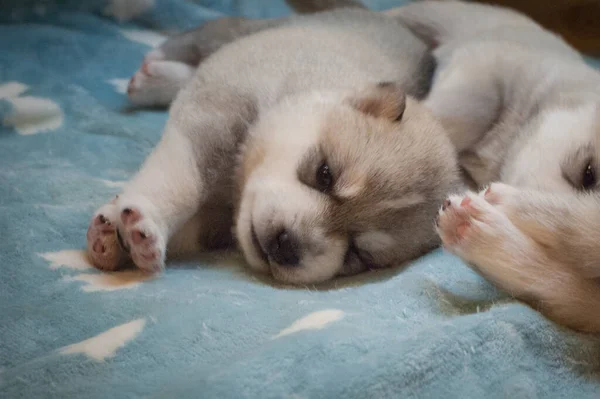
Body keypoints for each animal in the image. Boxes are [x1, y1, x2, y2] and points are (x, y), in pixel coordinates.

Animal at [85, 7, 460, 286]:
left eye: (359, 254)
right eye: (325, 174)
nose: (287, 244)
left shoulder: (217, 224)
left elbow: (192, 229)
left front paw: (114, 237)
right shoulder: (209, 124)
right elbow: (181, 181)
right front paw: (143, 223)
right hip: (252, 32)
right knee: (204, 38)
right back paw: (154, 74)